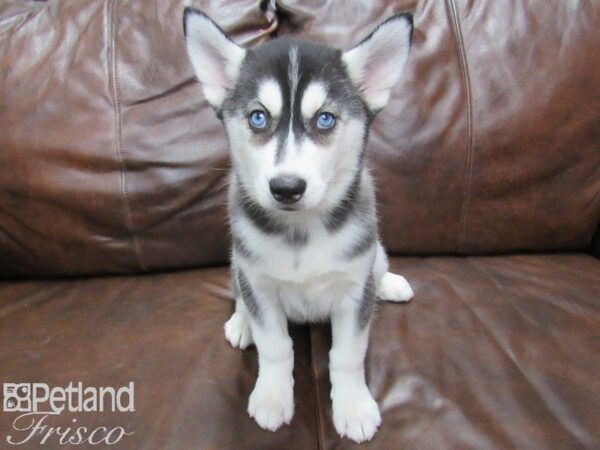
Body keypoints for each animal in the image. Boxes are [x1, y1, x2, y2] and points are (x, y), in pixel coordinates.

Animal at [185, 9, 414, 442]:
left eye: (324, 119)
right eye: (258, 117)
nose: (287, 188)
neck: (301, 232)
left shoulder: (354, 290)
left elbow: (347, 354)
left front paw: (353, 406)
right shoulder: (259, 284)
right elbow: (275, 347)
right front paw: (273, 397)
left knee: (378, 265)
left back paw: (390, 283)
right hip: (238, 262)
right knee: (237, 289)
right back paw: (241, 322)